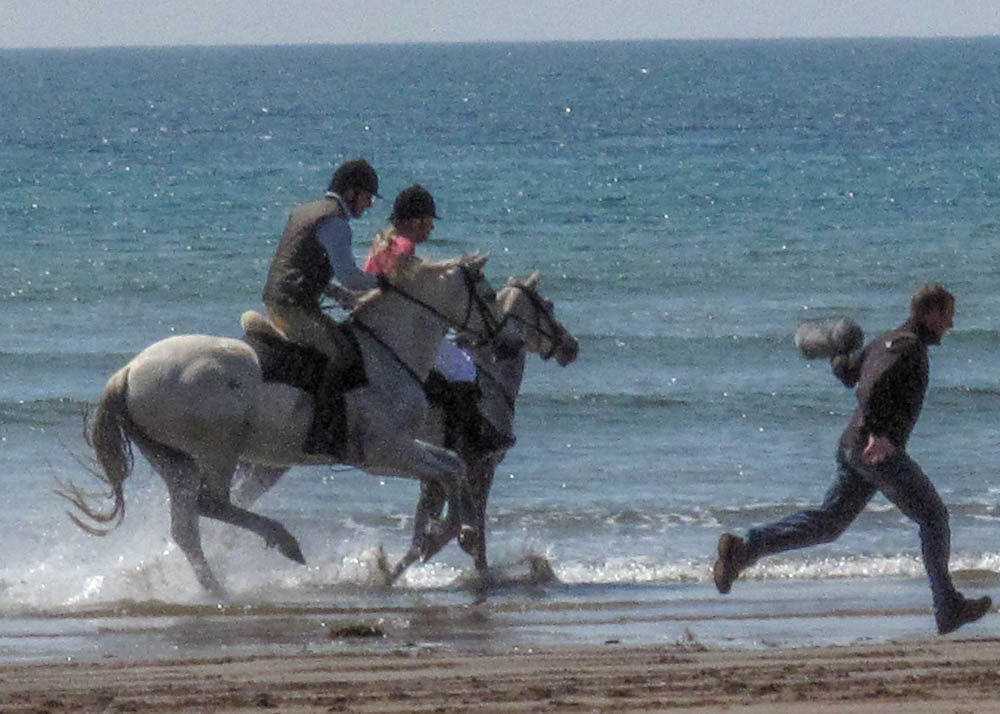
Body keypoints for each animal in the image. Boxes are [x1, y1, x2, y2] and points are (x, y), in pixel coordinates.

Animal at [61, 254, 512, 596]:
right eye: (489, 296)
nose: (502, 342)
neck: (386, 354)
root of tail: (128, 372)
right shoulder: (384, 452)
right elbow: (450, 466)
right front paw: (460, 531)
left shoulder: (401, 449)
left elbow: (451, 465)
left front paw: (454, 532)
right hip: (217, 450)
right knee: (211, 503)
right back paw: (283, 542)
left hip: (174, 460)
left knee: (187, 526)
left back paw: (216, 587)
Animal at [231, 270, 584, 588]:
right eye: (548, 306)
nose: (572, 347)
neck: (489, 377)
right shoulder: (479, 466)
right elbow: (469, 531)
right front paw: (471, 569)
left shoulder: (434, 474)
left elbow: (427, 530)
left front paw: (395, 567)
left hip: (269, 462)